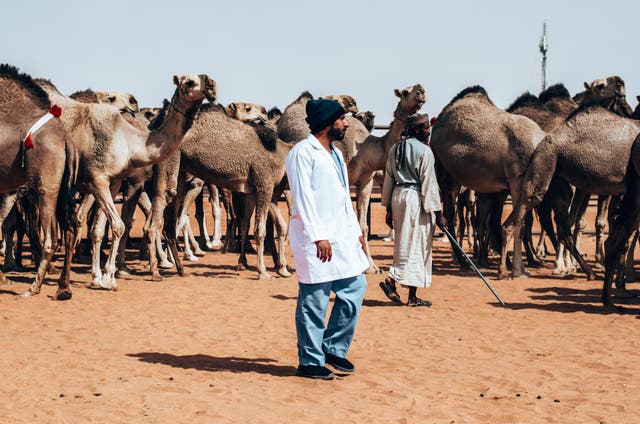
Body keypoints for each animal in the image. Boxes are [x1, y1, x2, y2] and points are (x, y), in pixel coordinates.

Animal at [0, 64, 77, 300]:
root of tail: (66, 139)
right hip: (62, 189)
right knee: (70, 229)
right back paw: (63, 288)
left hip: (45, 188)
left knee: (51, 236)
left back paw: (33, 288)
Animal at [34, 73, 215, 292]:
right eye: (189, 82)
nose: (211, 85)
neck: (129, 142)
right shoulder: (101, 180)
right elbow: (120, 225)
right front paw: (111, 277)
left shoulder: (113, 183)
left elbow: (99, 229)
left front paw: (98, 276)